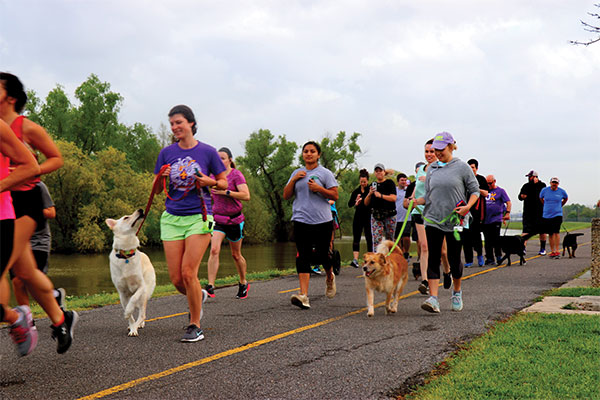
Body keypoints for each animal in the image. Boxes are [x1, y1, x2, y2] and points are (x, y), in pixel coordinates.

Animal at [106, 209, 157, 338]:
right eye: (126, 217)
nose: (141, 210)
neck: (126, 254)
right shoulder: (122, 293)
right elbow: (130, 316)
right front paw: (131, 324)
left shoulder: (141, 287)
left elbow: (133, 301)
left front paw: (133, 326)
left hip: (145, 293)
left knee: (142, 313)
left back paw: (139, 324)